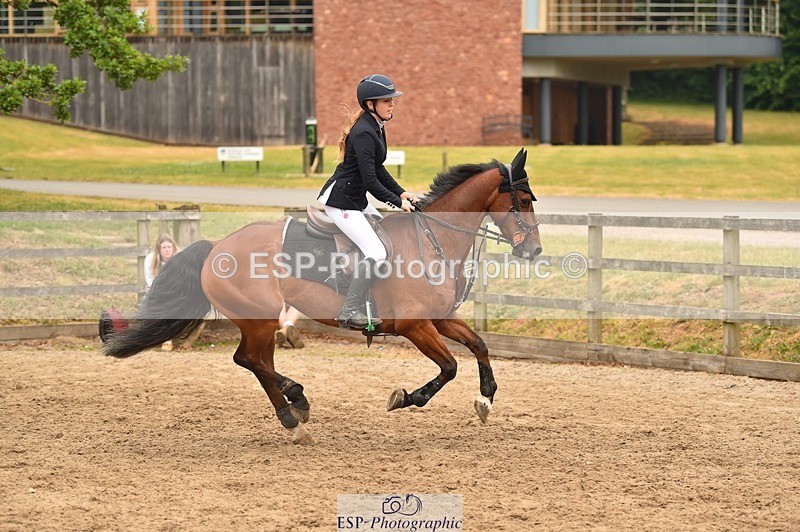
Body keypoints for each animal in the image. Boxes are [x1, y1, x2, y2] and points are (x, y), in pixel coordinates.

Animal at [103, 148, 542, 445]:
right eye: (521, 201)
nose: (534, 250)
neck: (432, 240)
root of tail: (215, 248)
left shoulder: (440, 318)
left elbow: (480, 345)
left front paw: (485, 400)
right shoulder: (415, 326)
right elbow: (449, 367)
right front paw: (405, 398)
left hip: (261, 322)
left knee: (259, 362)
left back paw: (293, 415)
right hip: (258, 318)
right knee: (247, 359)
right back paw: (295, 400)